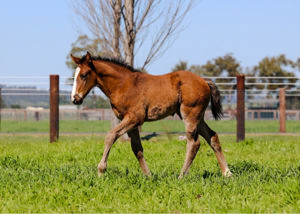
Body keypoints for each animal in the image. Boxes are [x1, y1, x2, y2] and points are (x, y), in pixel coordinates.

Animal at [69, 52, 232, 179]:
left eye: (84, 75)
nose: (75, 99)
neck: (123, 84)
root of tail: (204, 80)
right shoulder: (130, 123)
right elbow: (137, 148)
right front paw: (148, 176)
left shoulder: (134, 118)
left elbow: (111, 136)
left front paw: (101, 171)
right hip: (198, 117)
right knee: (212, 136)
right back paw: (227, 173)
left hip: (190, 115)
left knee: (194, 143)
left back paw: (181, 175)